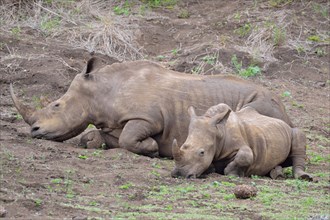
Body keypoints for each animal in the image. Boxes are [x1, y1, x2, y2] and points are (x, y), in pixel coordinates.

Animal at [171, 103, 314, 180]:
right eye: (183, 146)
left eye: (202, 152)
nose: (179, 174)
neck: (219, 132)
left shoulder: (243, 145)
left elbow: (245, 156)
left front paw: (232, 173)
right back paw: (276, 173)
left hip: (290, 130)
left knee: (298, 135)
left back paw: (303, 177)